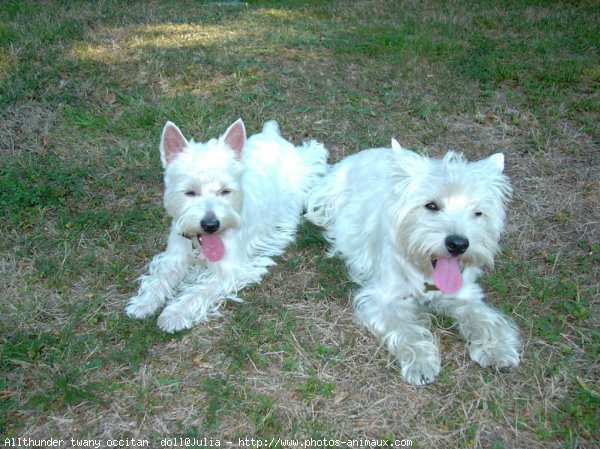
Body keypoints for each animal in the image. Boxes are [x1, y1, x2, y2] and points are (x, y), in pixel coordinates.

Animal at [126, 119, 328, 332]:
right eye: (189, 192)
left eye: (225, 191)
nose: (210, 224)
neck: (199, 245)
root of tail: (271, 134)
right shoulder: (175, 255)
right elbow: (160, 277)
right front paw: (142, 304)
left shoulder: (230, 270)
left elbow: (198, 291)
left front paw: (174, 314)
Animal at [308, 141, 516, 384]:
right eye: (431, 205)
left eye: (478, 212)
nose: (458, 244)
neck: (425, 272)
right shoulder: (384, 298)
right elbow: (406, 330)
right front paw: (421, 364)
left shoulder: (464, 294)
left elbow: (485, 319)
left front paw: (499, 350)